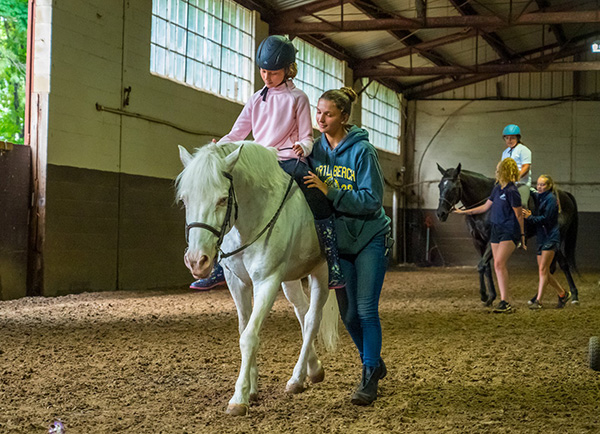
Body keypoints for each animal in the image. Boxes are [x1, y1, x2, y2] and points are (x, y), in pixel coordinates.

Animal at [176, 141, 340, 416]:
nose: (197, 261)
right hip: (290, 280)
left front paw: (239, 398)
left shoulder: (267, 281)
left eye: (223, 199)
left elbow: (249, 337)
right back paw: (313, 369)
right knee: (302, 313)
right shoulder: (237, 282)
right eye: (185, 199)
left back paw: (297, 379)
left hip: (321, 272)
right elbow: (244, 329)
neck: (253, 218)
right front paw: (252, 388)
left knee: (312, 319)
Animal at [436, 163, 576, 306]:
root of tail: (564, 194)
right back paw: (548, 298)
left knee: (561, 265)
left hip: (555, 239)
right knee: (551, 267)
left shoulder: (492, 239)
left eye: (454, 188)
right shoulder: (478, 241)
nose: (440, 213)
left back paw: (573, 296)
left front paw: (484, 295)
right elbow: (486, 266)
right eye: (439, 186)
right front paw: (491, 297)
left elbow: (481, 266)